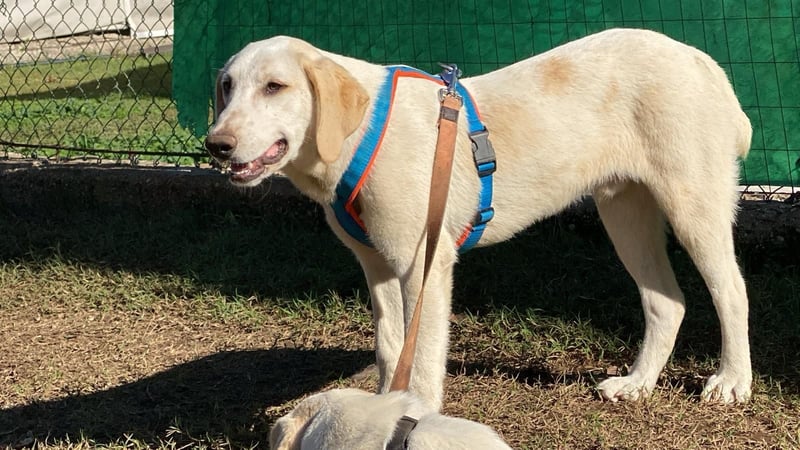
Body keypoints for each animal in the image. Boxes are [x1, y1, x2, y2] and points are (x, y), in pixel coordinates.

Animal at [205, 28, 753, 408]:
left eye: (275, 87)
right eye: (227, 87)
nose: (216, 145)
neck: (355, 135)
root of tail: (701, 59)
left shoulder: (424, 264)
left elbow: (422, 360)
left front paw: (414, 415)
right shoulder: (377, 265)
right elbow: (390, 347)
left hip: (692, 202)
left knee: (731, 290)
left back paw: (732, 382)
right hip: (624, 212)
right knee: (666, 303)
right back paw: (638, 384)